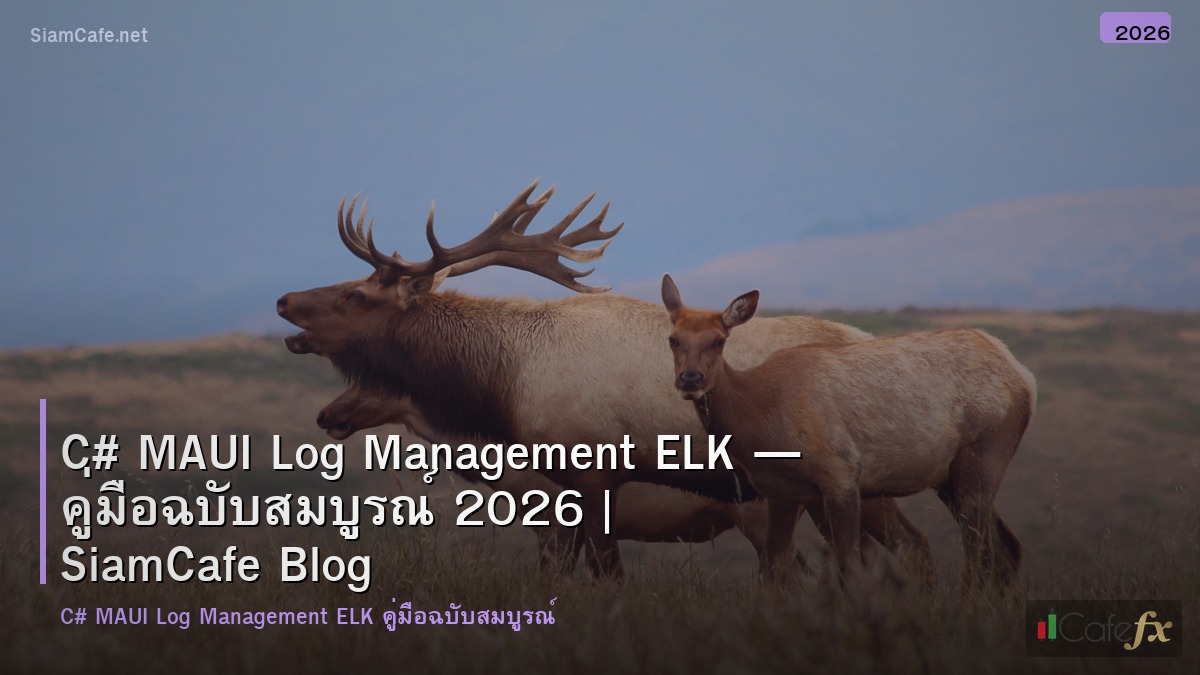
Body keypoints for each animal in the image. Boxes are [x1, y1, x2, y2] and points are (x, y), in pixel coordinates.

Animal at [276, 180, 933, 577]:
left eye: (355, 295)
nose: (284, 301)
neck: (504, 387)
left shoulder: (583, 482)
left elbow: (598, 578)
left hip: (837, 483)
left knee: (912, 548)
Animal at [660, 274, 1034, 585]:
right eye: (673, 339)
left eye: (719, 340)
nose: (690, 379)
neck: (760, 424)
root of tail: (1024, 376)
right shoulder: (781, 493)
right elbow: (774, 568)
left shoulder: (841, 476)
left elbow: (849, 568)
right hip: (948, 477)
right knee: (1005, 547)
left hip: (984, 455)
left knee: (979, 553)